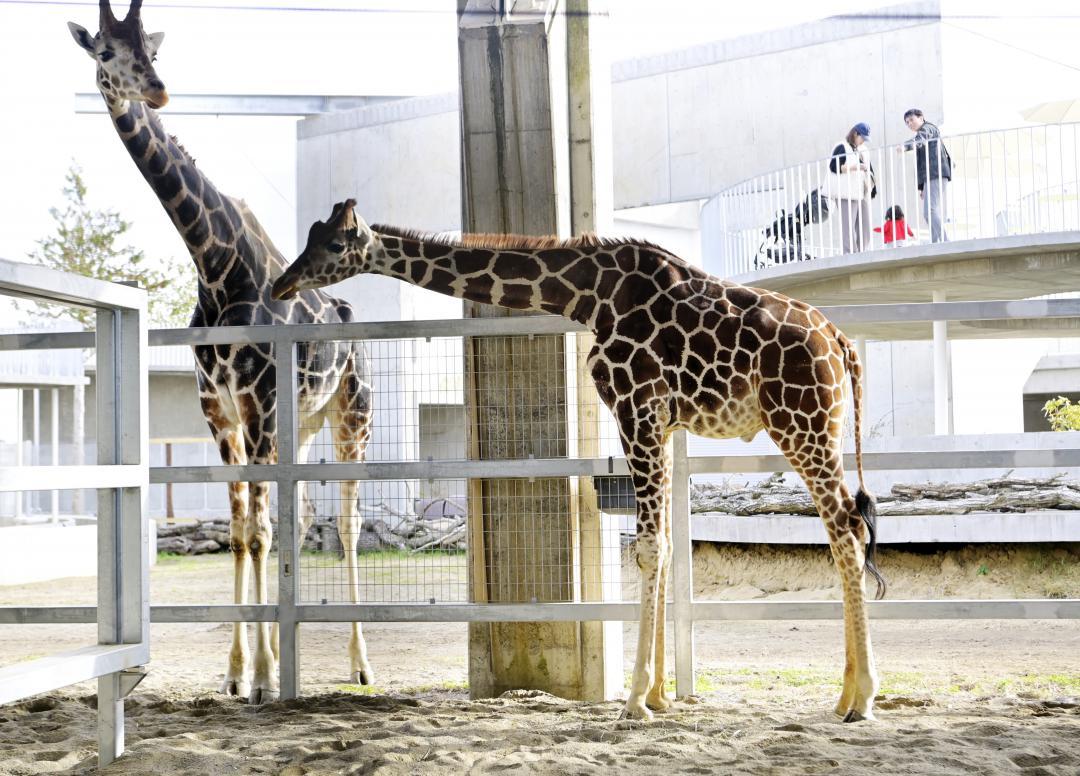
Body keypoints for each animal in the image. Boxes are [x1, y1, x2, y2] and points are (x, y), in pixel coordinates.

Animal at [69, 1, 375, 703]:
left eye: (151, 49)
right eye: (105, 52)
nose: (156, 90)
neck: (213, 265)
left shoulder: (257, 404)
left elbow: (259, 532)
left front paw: (262, 677)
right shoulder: (221, 411)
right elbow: (241, 532)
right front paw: (238, 671)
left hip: (352, 416)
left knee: (345, 523)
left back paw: (359, 664)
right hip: (302, 424)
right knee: (295, 517)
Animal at [274, 200, 889, 720]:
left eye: (334, 244)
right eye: (311, 235)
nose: (284, 281)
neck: (589, 296)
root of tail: (842, 344)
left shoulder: (636, 408)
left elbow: (648, 548)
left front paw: (635, 701)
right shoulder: (659, 421)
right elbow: (664, 544)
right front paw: (659, 695)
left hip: (801, 424)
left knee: (847, 530)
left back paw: (861, 698)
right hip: (814, 428)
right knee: (845, 528)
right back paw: (844, 695)